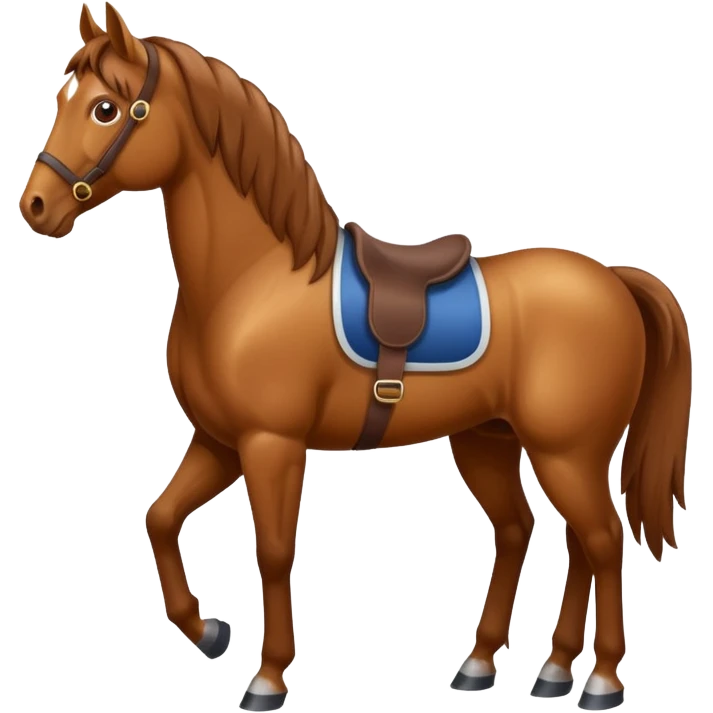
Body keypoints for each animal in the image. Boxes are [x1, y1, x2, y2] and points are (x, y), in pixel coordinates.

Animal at [18, 3, 693, 711]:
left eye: (103, 108)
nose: (34, 205)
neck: (252, 279)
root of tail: (614, 279)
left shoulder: (271, 444)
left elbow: (274, 551)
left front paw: (268, 677)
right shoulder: (219, 441)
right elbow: (160, 518)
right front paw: (208, 631)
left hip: (568, 452)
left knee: (603, 542)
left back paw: (600, 680)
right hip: (491, 441)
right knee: (534, 535)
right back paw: (518, 667)